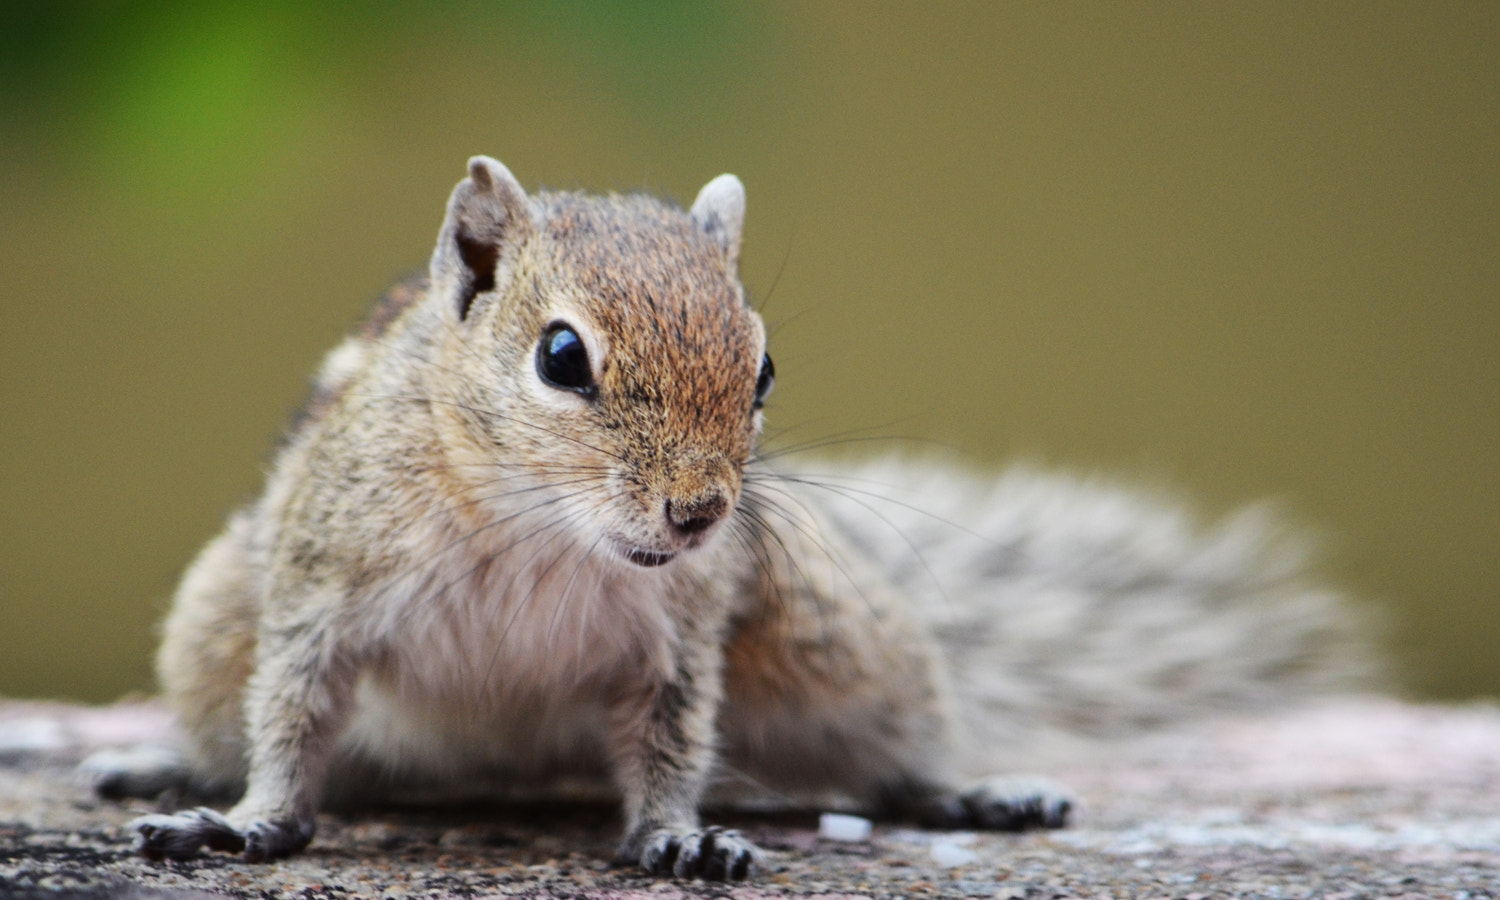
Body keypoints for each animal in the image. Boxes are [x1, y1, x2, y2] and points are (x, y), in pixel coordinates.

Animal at [82, 158, 1374, 882]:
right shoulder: (320, 592)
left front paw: (675, 836)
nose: (701, 512)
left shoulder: (678, 638)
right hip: (211, 627)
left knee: (889, 754)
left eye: (763, 367)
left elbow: (670, 742)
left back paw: (964, 791)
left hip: (838, 645)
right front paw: (246, 823)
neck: (544, 528)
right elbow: (293, 724)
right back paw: (165, 763)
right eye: (560, 356)